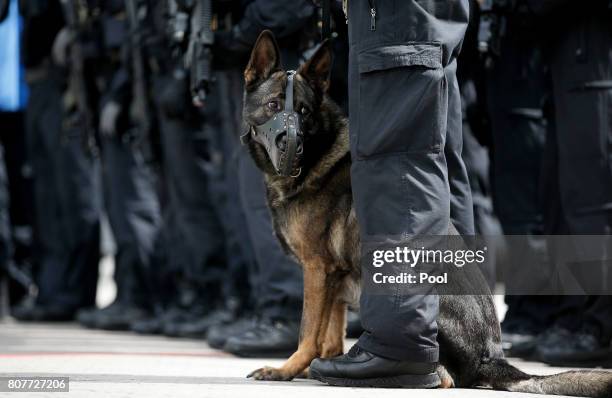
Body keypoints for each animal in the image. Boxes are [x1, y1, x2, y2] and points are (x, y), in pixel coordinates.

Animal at [240, 29, 612, 396]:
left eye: (304, 111)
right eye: (274, 106)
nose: (290, 144)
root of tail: (490, 357)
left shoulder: (317, 269)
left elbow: (307, 330)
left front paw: (286, 369)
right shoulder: (335, 275)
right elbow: (329, 333)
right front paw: (318, 365)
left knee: (443, 375)